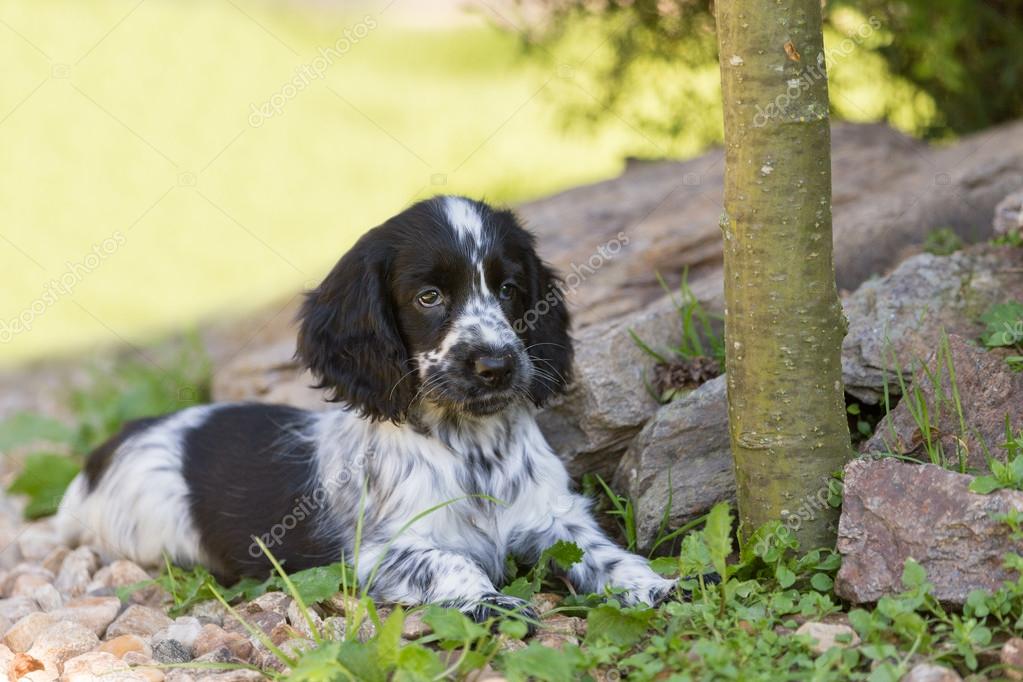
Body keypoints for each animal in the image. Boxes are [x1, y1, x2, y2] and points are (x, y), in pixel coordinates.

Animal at [58, 196, 679, 625]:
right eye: (429, 297)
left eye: (508, 289)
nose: (497, 365)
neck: (471, 445)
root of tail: (110, 446)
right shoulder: (382, 552)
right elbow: (453, 562)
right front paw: (492, 603)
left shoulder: (554, 517)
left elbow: (603, 552)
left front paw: (655, 586)